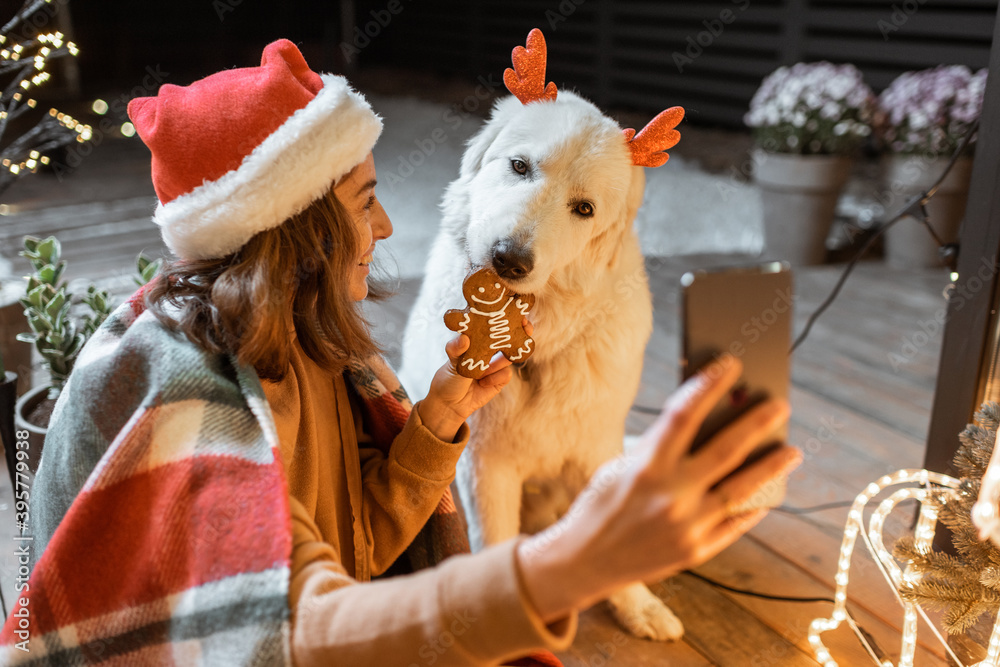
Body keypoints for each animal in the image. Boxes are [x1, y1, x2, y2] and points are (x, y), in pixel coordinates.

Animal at [398, 30, 688, 640]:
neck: (540, 335)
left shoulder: (595, 449)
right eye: (519, 166)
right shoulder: (485, 463)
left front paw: (635, 602)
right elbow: (492, 544)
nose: (509, 260)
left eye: (584, 209)